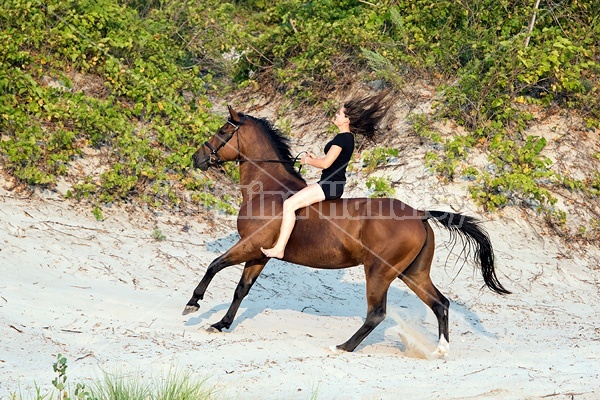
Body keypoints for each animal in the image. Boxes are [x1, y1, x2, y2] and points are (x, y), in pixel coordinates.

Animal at [184, 104, 510, 354]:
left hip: (378, 271)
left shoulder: (250, 245)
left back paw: (344, 346)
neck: (267, 190)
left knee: (377, 313)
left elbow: (214, 265)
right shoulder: (259, 254)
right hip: (413, 273)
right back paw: (440, 350)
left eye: (223, 131)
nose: (196, 158)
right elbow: (241, 289)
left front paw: (193, 304)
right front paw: (221, 324)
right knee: (440, 303)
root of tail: (419, 214)